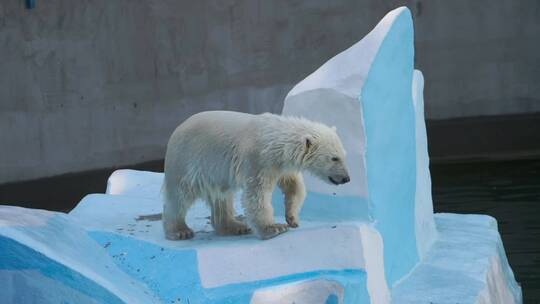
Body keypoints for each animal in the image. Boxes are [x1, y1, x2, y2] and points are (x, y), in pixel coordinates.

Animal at [162, 110, 350, 241]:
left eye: (344, 155)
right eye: (334, 158)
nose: (346, 178)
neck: (274, 140)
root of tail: (175, 131)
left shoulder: (280, 165)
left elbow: (294, 186)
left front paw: (292, 218)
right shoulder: (257, 160)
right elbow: (257, 195)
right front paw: (273, 228)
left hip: (215, 173)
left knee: (222, 197)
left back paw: (235, 226)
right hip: (187, 162)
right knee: (179, 195)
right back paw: (179, 231)